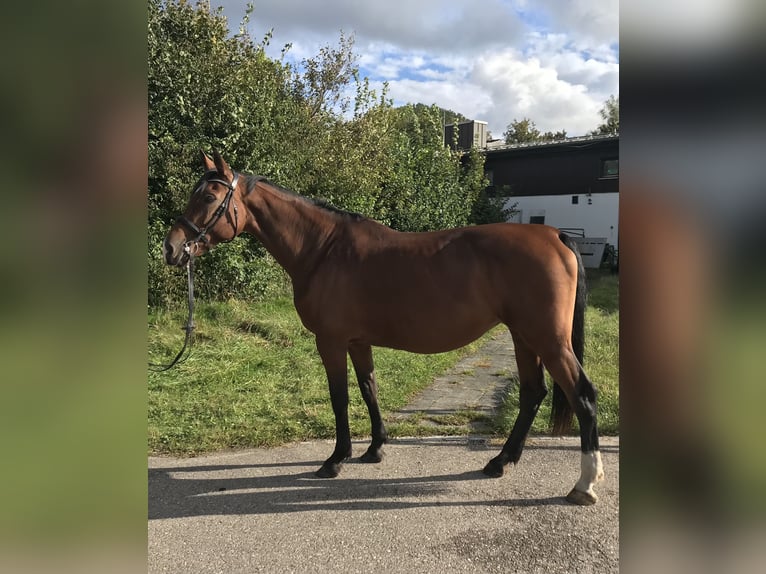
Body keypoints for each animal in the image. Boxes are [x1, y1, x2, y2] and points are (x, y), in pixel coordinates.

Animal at [164, 152, 608, 504]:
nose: (172, 248)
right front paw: (375, 449)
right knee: (533, 393)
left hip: (548, 340)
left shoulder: (331, 341)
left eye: (208, 197)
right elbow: (369, 389)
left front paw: (335, 459)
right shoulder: (358, 341)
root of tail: (555, 234)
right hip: (523, 336)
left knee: (582, 395)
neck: (322, 249)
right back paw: (500, 461)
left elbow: (340, 398)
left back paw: (584, 484)